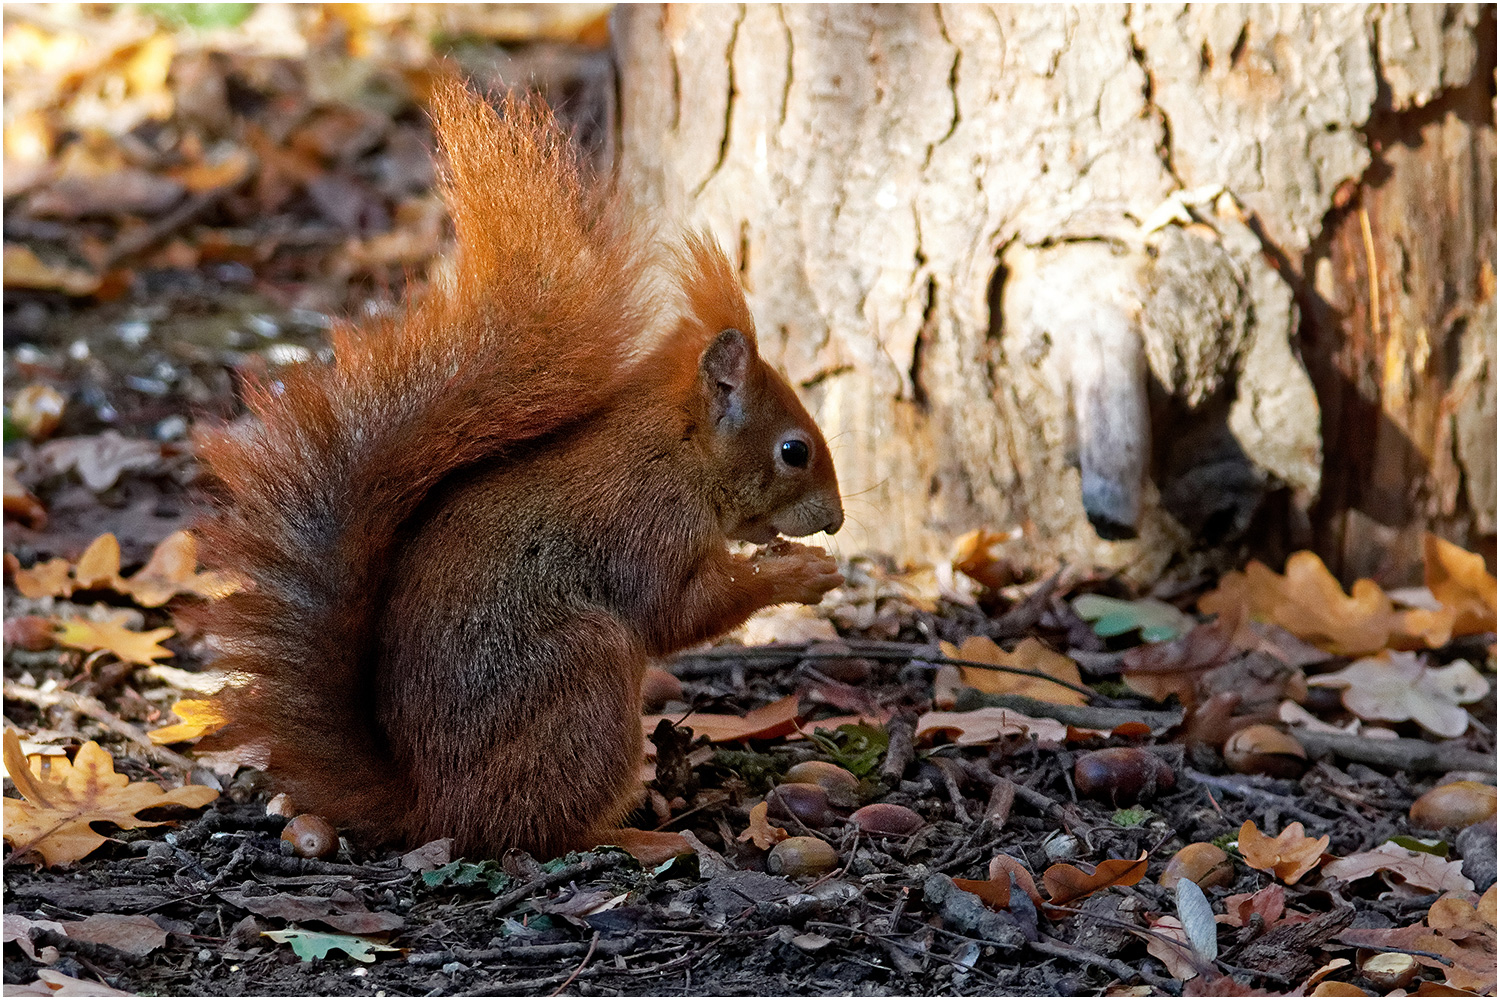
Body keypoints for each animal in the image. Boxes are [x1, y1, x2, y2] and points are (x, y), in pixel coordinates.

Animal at [187, 82, 846, 857]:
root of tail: (432, 810)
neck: (676, 450)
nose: (837, 520)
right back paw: (638, 837)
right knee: (540, 832)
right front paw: (801, 575)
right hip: (583, 677)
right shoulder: (645, 523)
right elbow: (680, 611)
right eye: (794, 451)